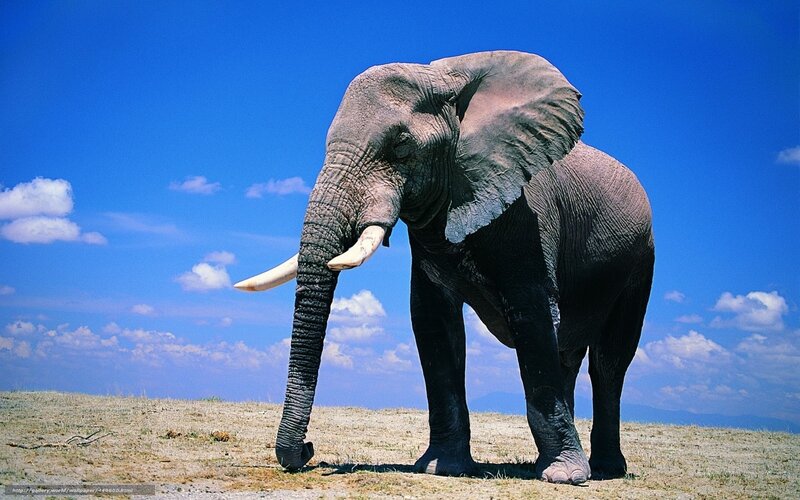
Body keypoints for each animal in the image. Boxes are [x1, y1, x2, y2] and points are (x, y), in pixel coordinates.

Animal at [235, 50, 654, 484]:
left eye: (402, 146)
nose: (307, 449)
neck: (446, 78)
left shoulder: (531, 217)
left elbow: (533, 318)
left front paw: (564, 478)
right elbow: (434, 322)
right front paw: (444, 468)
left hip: (641, 260)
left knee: (609, 362)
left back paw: (602, 469)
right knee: (568, 355)